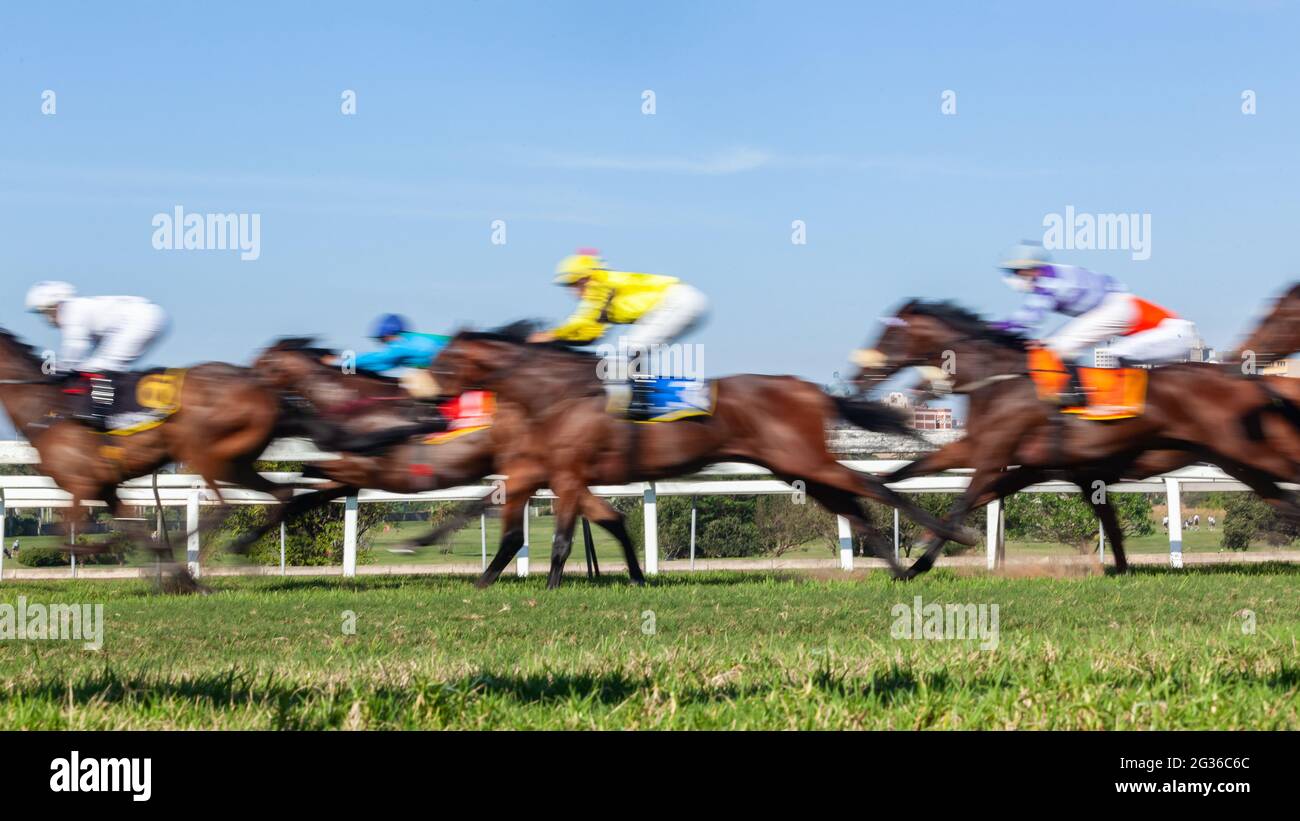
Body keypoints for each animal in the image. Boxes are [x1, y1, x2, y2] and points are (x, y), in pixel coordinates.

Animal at [431, 323, 977, 587]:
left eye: (445, 361)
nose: (427, 398)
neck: (557, 394)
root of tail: (809, 390)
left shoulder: (567, 475)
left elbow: (563, 540)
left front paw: (545, 588)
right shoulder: (565, 477)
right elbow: (586, 525)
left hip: (803, 459)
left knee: (872, 485)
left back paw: (944, 542)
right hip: (791, 466)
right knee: (852, 505)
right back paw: (900, 566)